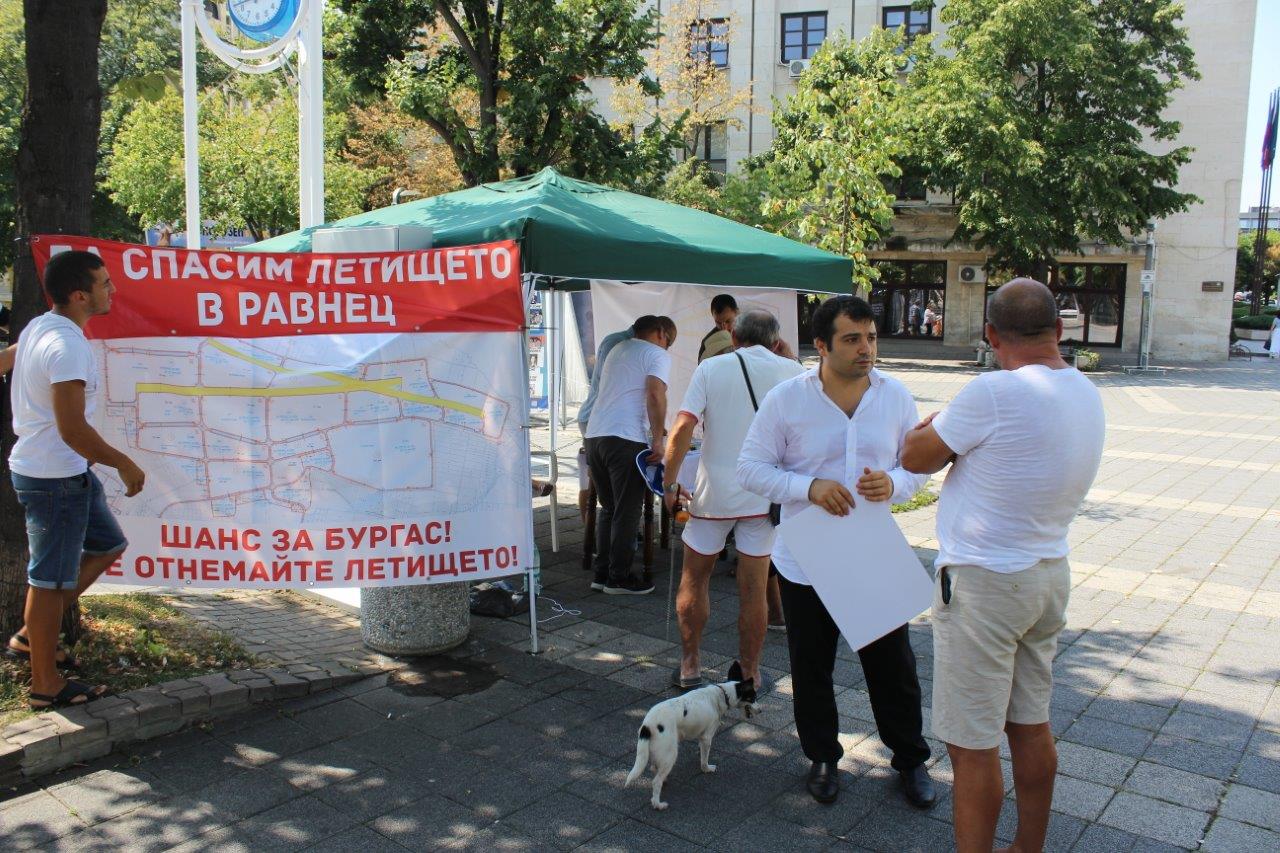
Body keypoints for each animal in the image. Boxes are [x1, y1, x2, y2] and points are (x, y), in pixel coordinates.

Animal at [625, 679, 755, 810]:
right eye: (753, 697)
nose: (759, 711)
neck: (722, 694)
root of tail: (647, 725)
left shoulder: (701, 737)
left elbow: (701, 751)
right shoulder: (707, 737)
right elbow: (704, 759)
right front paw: (706, 769)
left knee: (655, 769)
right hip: (670, 755)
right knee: (656, 782)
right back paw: (658, 804)